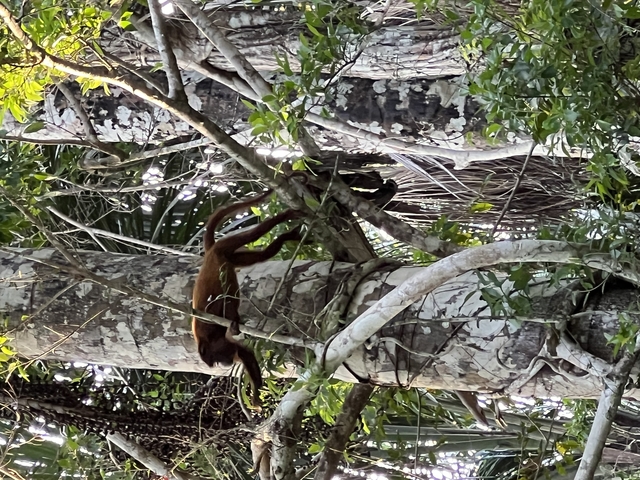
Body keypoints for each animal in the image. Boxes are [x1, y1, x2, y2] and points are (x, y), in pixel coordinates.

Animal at [192, 190, 302, 408]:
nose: (225, 364)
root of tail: (209, 252)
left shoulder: (213, 334)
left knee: (253, 235)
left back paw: (283, 217)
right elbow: (244, 353)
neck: (206, 340)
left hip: (224, 247)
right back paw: (286, 237)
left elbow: (223, 304)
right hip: (232, 256)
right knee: (261, 255)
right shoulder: (225, 344)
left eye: (215, 360)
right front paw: (256, 395)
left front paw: (234, 321)